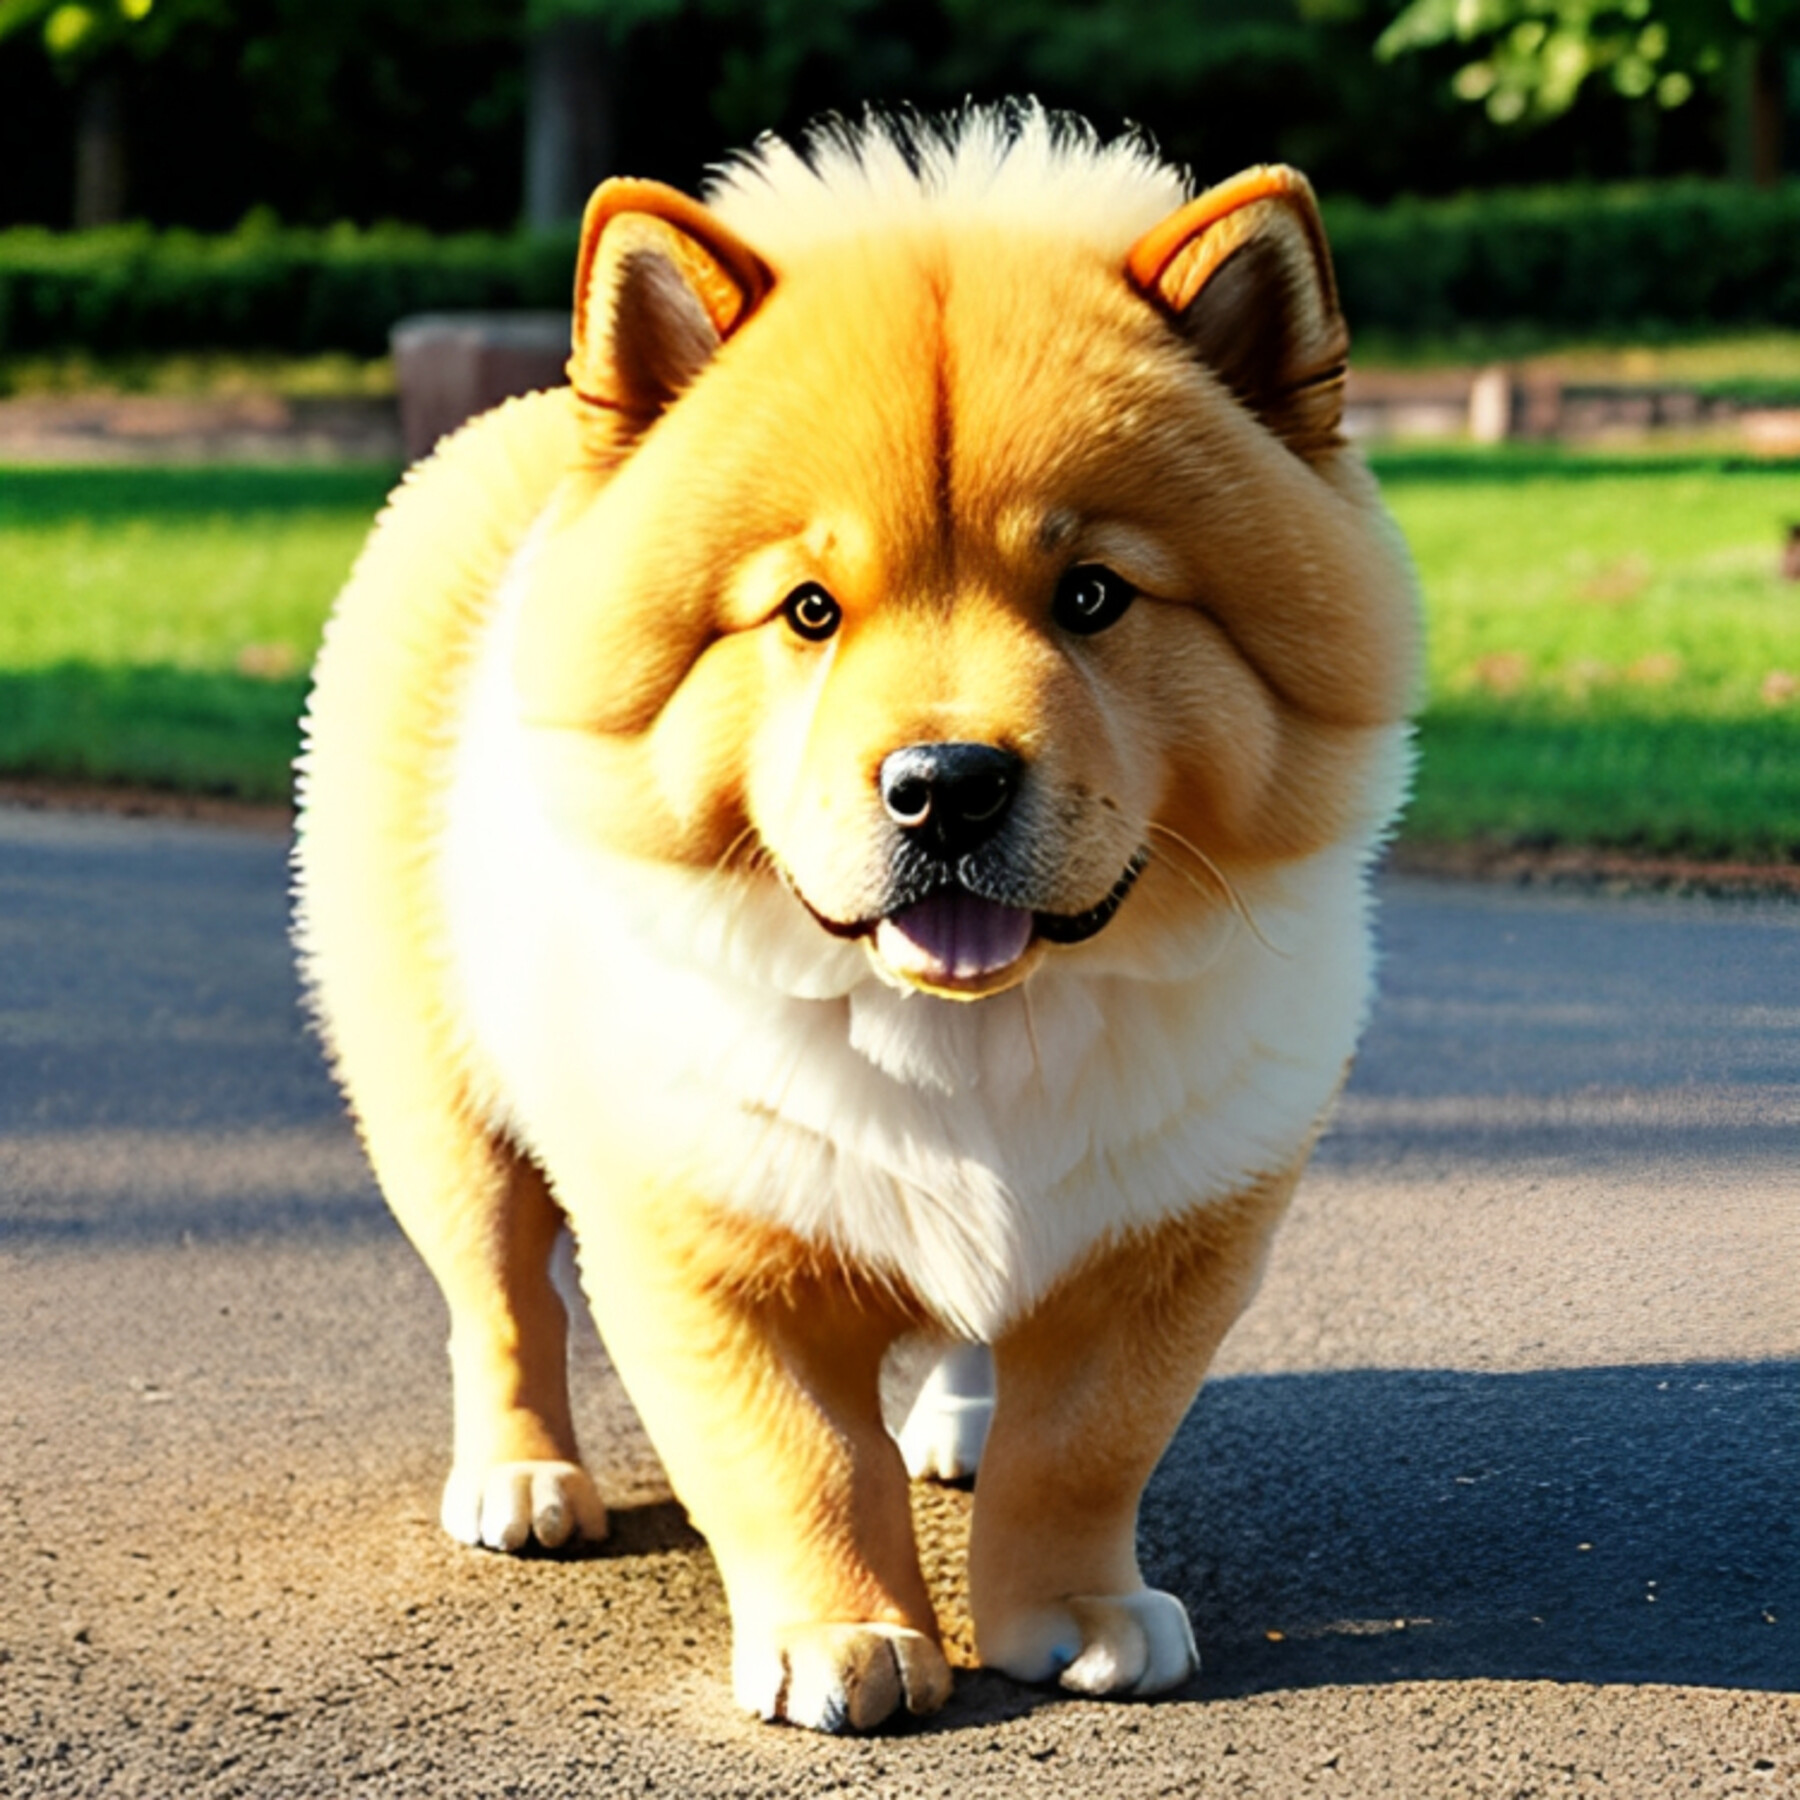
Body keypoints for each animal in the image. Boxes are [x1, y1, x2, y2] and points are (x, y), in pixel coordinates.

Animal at [295, 102, 1418, 1728]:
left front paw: (1073, 1615)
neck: (975, 1040)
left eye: (1094, 595)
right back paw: (522, 1482)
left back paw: (959, 1423)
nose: (946, 784)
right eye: (809, 612)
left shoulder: (1171, 1238)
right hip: (437, 1098)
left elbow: (1084, 1450)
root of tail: (507, 428)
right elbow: (800, 1460)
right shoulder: (697, 1239)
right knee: (499, 1294)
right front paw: (846, 1641)